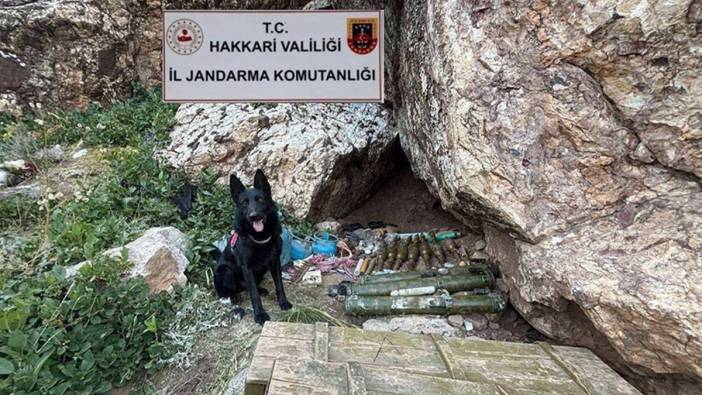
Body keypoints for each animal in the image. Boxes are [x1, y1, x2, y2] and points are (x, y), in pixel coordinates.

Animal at [213, 170, 292, 324]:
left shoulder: (274, 262)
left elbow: (279, 285)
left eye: (260, 199)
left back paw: (261, 290)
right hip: (225, 270)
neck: (260, 238)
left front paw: (283, 302)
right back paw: (233, 297)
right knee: (229, 292)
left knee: (248, 287)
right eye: (244, 203)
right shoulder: (247, 267)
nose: (254, 216)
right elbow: (254, 295)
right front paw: (260, 314)